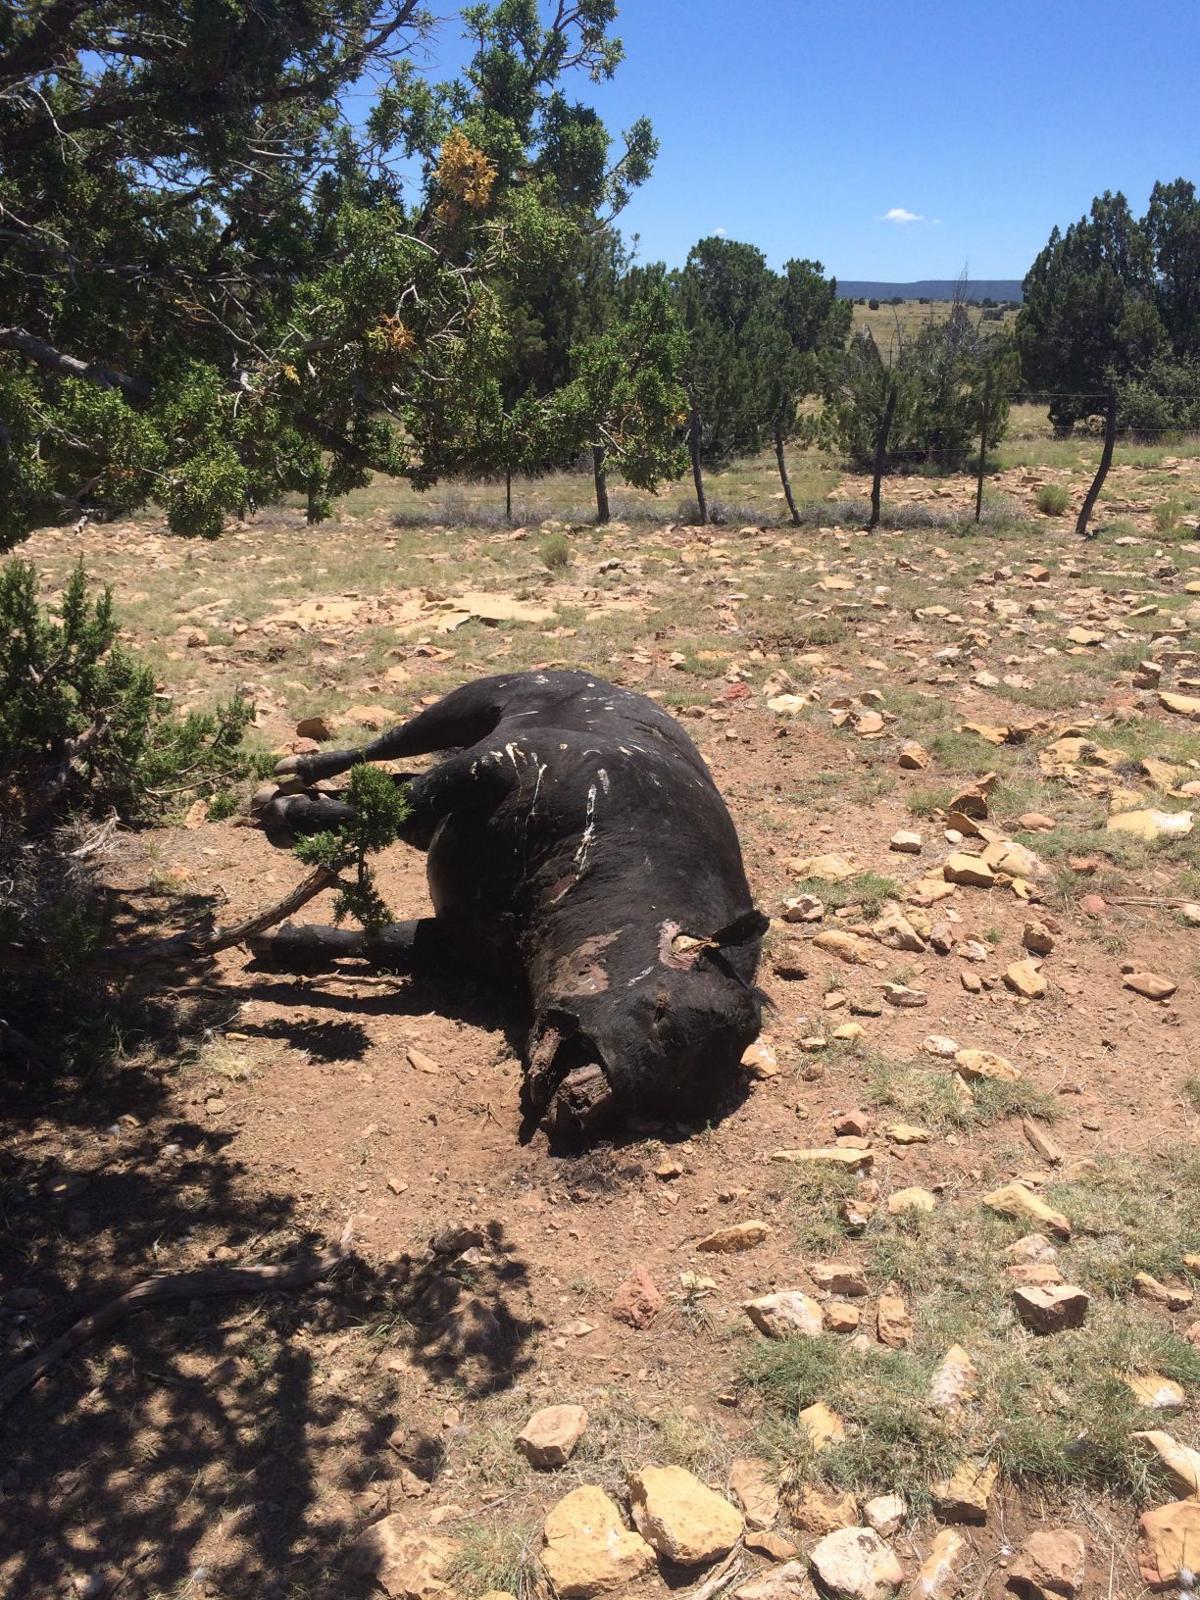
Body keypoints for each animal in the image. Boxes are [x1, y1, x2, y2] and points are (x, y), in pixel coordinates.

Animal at [256, 670, 767, 1137]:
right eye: (662, 1013)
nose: (584, 1106)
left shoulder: (459, 942)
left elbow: (380, 940)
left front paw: (275, 938)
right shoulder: (498, 765)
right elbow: (404, 801)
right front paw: (287, 811)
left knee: (397, 784)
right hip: (467, 704)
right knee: (384, 753)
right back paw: (288, 779)